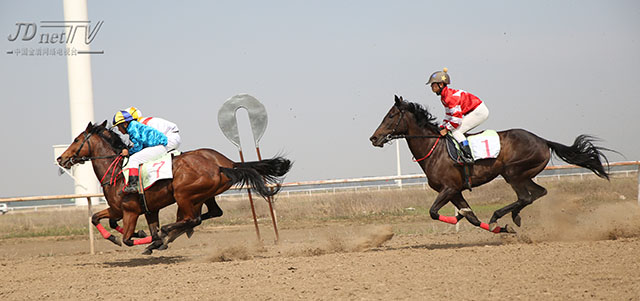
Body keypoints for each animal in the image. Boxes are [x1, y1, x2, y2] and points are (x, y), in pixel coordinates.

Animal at [57, 120, 292, 252]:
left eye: (77, 139)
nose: (61, 158)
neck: (117, 173)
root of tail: (225, 163)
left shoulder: (130, 211)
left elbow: (127, 239)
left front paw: (149, 238)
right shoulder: (137, 209)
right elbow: (97, 218)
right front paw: (139, 237)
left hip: (184, 194)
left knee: (191, 219)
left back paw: (168, 232)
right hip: (204, 195)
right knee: (209, 214)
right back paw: (172, 234)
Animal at [370, 96, 608, 232]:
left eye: (391, 115)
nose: (374, 138)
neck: (434, 148)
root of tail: (542, 140)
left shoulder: (449, 188)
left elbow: (433, 212)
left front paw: (478, 220)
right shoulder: (455, 191)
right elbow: (471, 217)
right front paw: (496, 229)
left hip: (512, 172)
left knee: (525, 196)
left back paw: (499, 216)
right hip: (523, 174)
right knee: (538, 193)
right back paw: (514, 217)